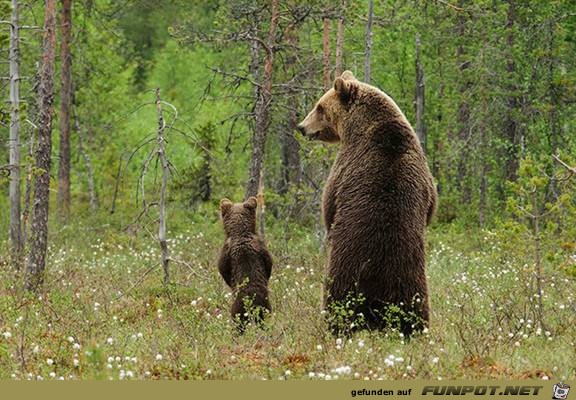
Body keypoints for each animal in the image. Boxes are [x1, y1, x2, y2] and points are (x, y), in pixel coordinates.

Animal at [217, 197, 274, 332]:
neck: (240, 232)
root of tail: (252, 303)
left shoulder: (226, 251)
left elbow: (223, 268)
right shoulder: (261, 246)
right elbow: (269, 262)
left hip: (238, 308)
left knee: (239, 323)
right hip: (264, 307)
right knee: (263, 321)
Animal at [296, 70, 436, 336]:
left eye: (319, 107)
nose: (301, 127)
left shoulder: (345, 165)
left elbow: (329, 204)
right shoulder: (425, 175)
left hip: (345, 272)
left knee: (337, 301)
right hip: (411, 281)